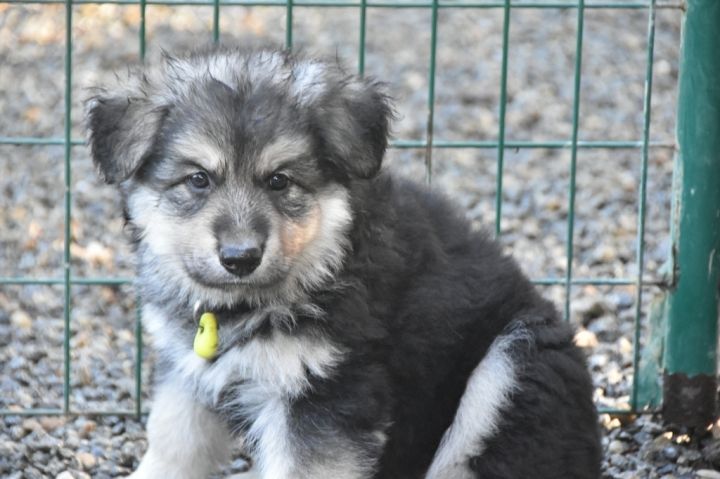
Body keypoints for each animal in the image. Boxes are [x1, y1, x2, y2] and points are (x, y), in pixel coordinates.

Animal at [86, 47, 602, 479]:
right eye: (198, 180)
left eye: (280, 180)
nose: (240, 258)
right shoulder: (188, 372)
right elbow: (173, 442)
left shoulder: (326, 391)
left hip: (515, 364)